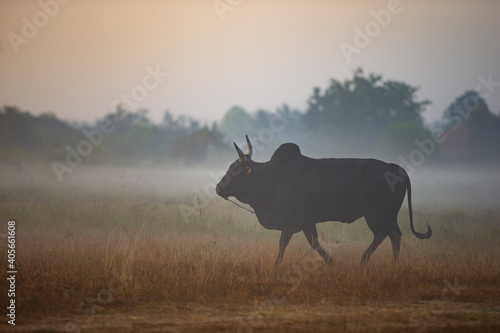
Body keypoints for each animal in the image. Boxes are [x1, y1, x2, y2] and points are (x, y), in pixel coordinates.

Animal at [214, 136, 430, 264]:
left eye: (234, 171)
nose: (217, 188)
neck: (270, 177)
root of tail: (396, 167)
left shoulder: (304, 220)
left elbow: (313, 244)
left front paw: (333, 263)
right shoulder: (289, 224)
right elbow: (283, 245)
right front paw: (275, 266)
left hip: (374, 214)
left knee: (382, 234)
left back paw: (363, 260)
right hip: (389, 214)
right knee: (395, 235)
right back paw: (393, 264)